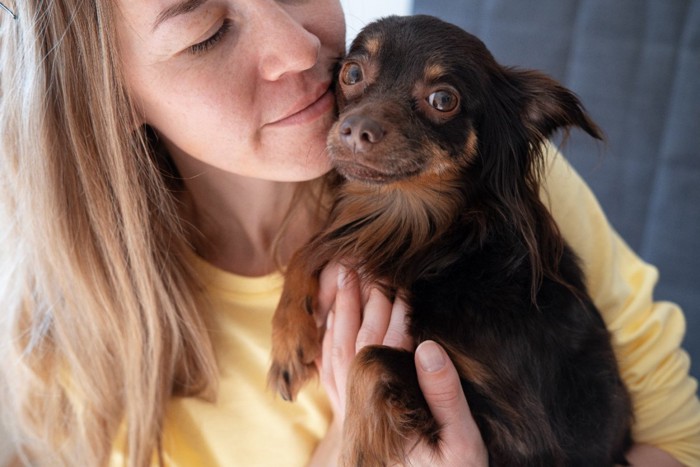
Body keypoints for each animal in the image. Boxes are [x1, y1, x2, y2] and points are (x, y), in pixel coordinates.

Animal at [268, 15, 636, 467]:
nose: (355, 130)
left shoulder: (522, 436)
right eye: (351, 74)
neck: (432, 241)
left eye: (443, 100)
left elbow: (370, 359)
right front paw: (288, 338)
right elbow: (312, 247)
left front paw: (357, 451)